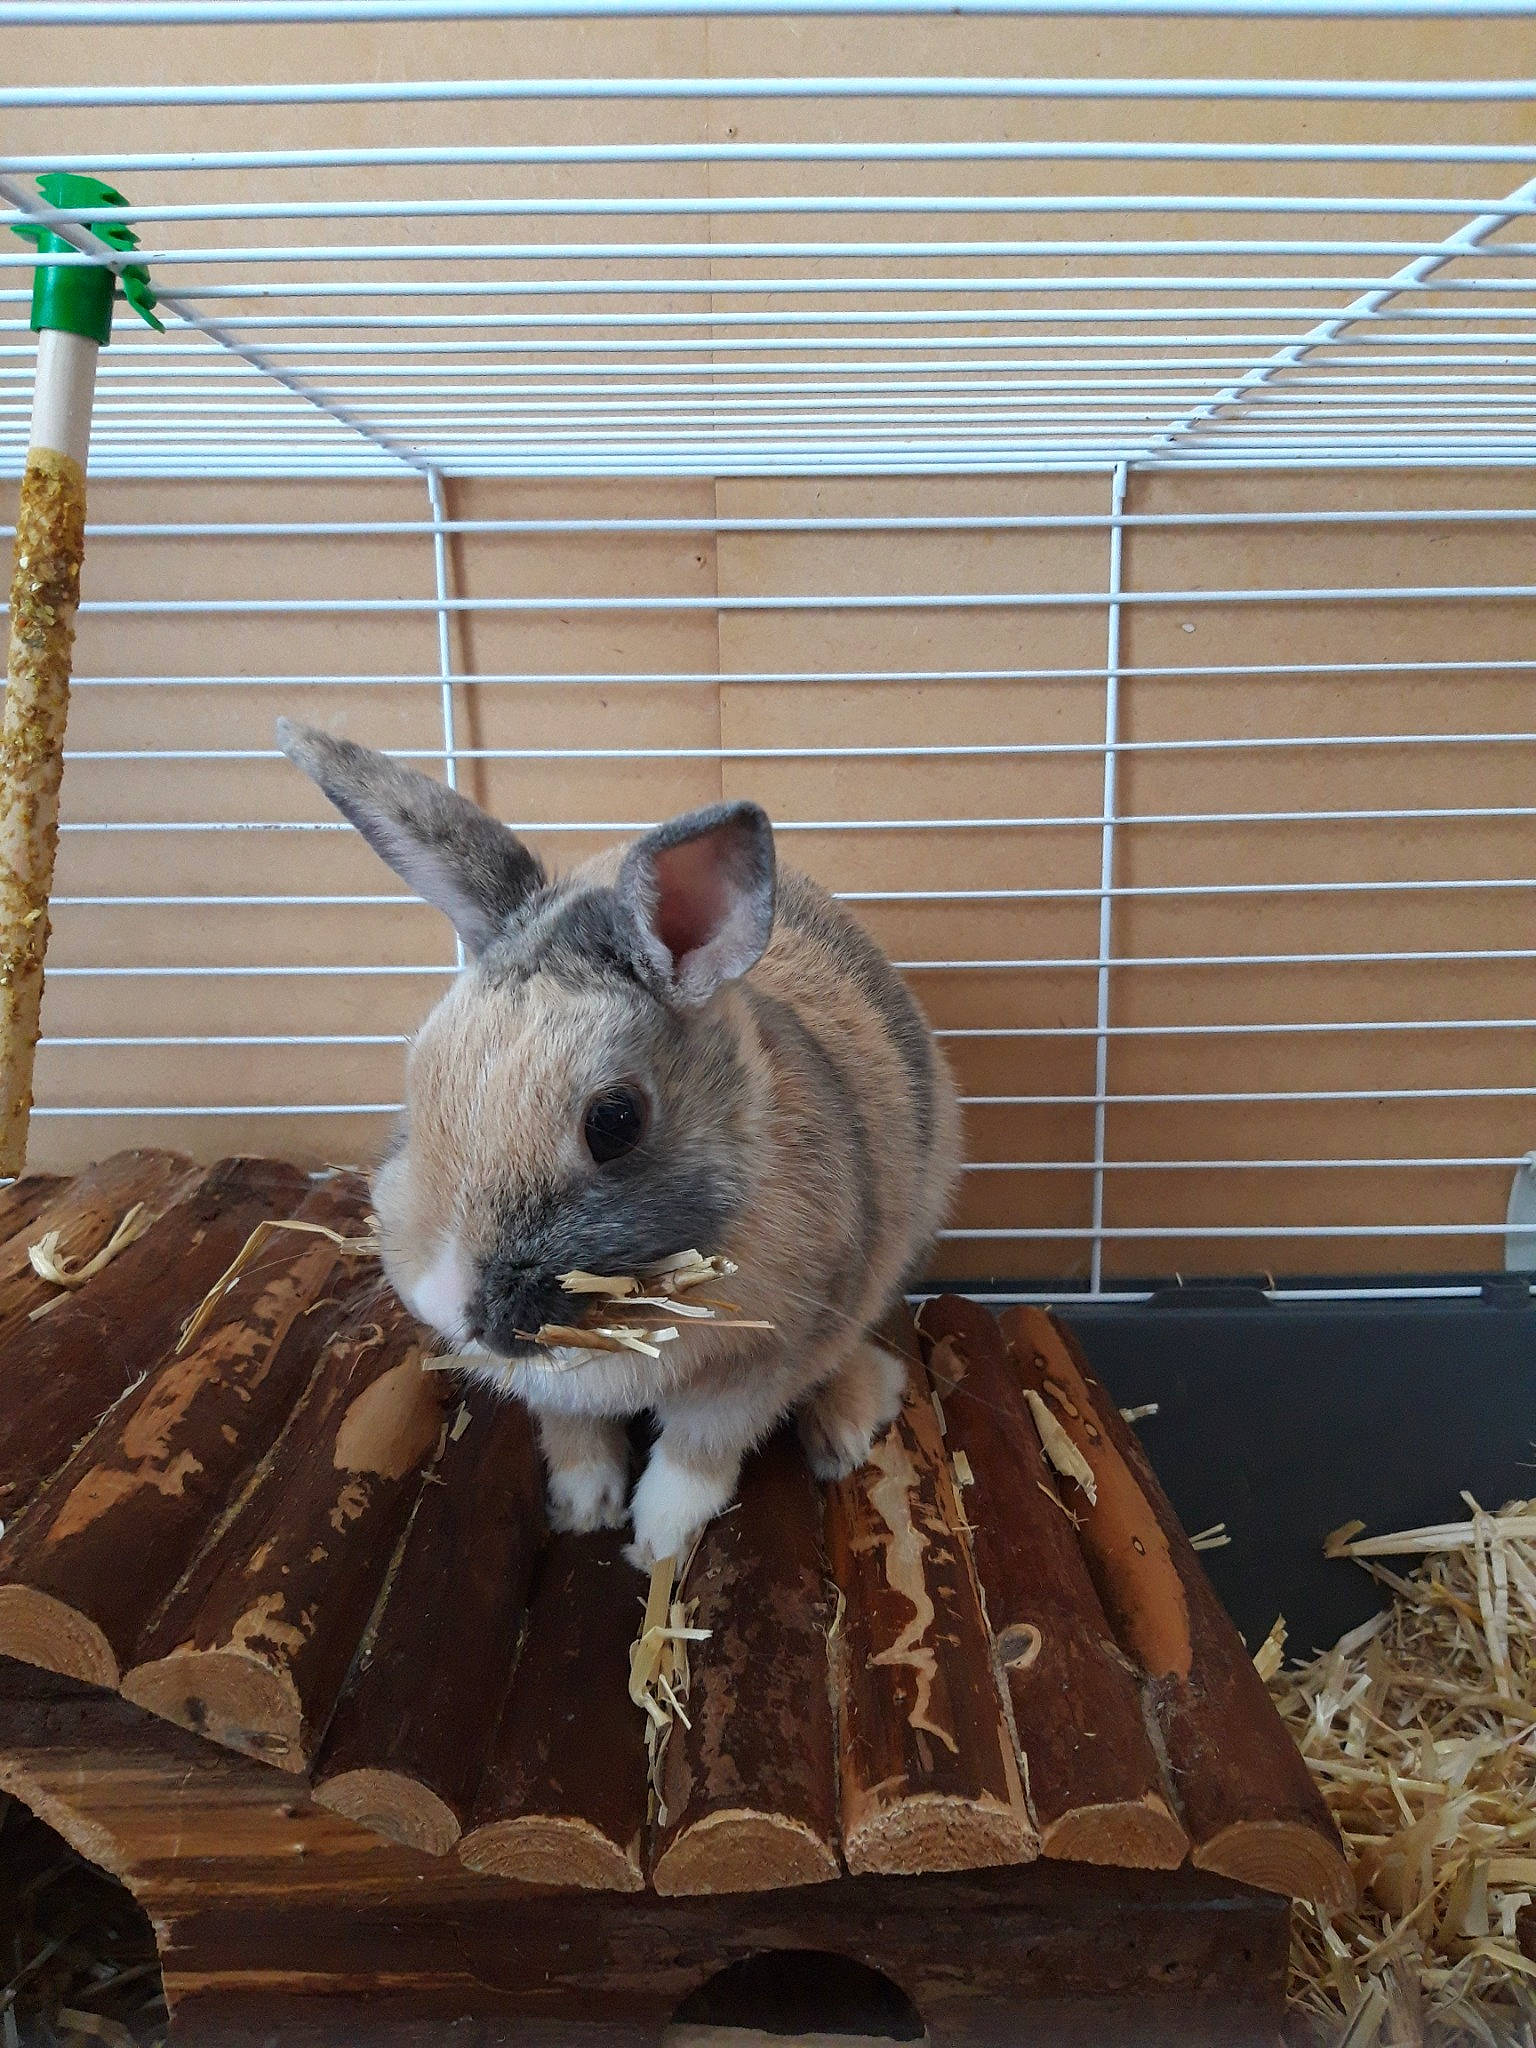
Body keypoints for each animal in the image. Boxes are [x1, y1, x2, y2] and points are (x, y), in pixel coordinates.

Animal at [277, 719, 960, 1569]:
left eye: (614, 1122)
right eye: (418, 1074)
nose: (440, 1296)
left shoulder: (757, 1368)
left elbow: (696, 1456)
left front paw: (657, 1542)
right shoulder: (550, 1389)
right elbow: (573, 1435)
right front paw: (582, 1509)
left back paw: (846, 1428)